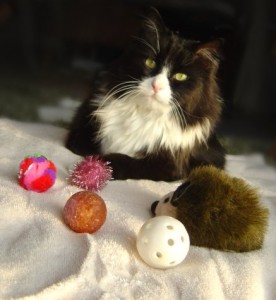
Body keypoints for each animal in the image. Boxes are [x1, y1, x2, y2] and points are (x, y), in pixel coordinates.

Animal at [66, 9, 225, 180]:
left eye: (180, 76)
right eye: (150, 62)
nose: (156, 86)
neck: (143, 113)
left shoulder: (169, 165)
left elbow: (128, 162)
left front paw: (102, 162)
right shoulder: (86, 113)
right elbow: (79, 140)